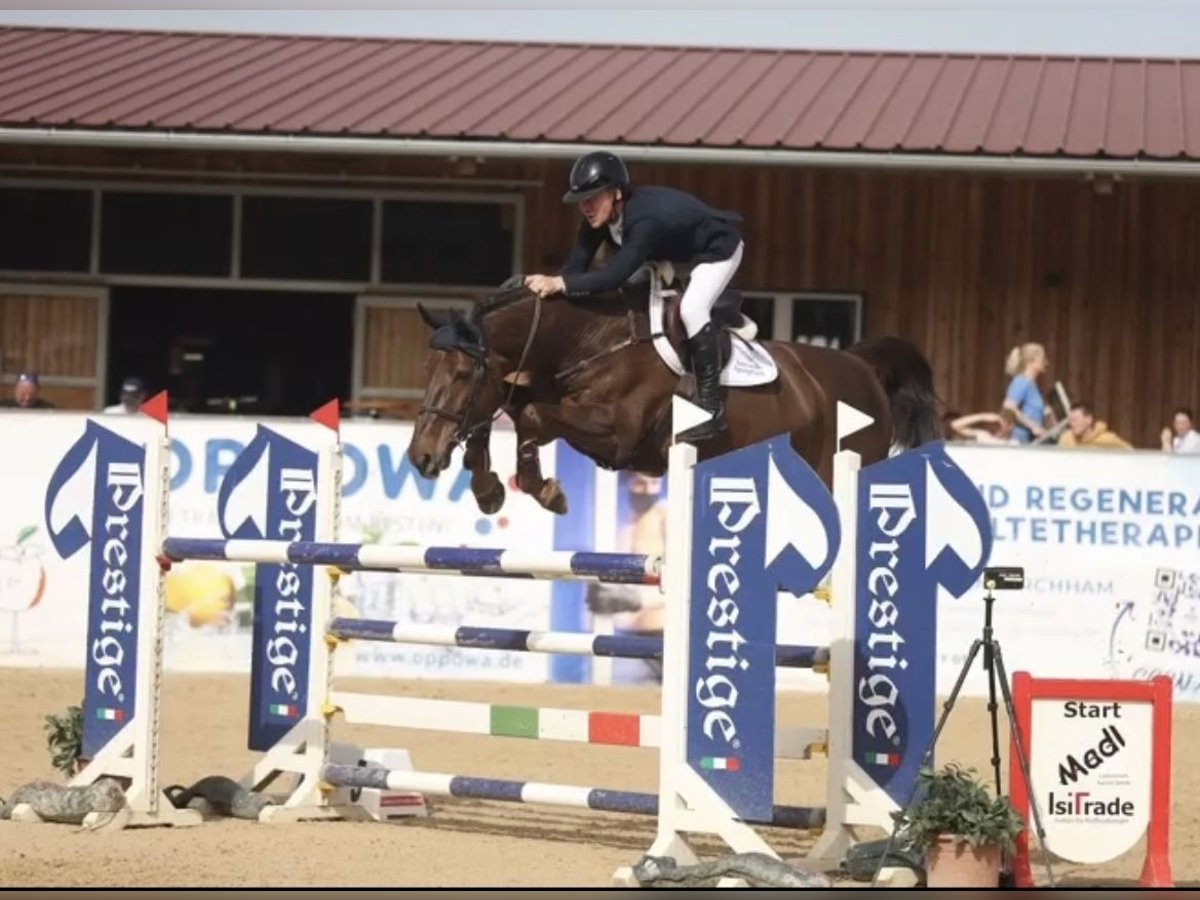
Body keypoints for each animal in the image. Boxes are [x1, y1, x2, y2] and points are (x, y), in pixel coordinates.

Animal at [405, 273, 941, 516]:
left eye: (460, 375)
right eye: (427, 370)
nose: (420, 457)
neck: (590, 338)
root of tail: (862, 366)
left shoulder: (617, 433)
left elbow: (533, 416)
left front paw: (548, 491)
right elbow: (508, 415)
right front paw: (488, 488)